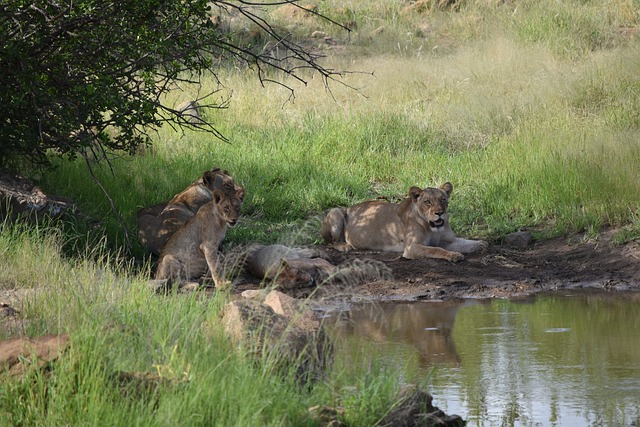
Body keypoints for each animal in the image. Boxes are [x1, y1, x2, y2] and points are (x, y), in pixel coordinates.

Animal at [322, 182, 488, 262]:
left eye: (443, 200)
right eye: (427, 202)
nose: (439, 213)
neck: (431, 228)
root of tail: (350, 207)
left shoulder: (449, 240)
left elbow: (465, 242)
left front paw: (481, 244)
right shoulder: (411, 247)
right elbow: (436, 249)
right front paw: (453, 255)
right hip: (336, 211)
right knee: (330, 242)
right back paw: (344, 246)